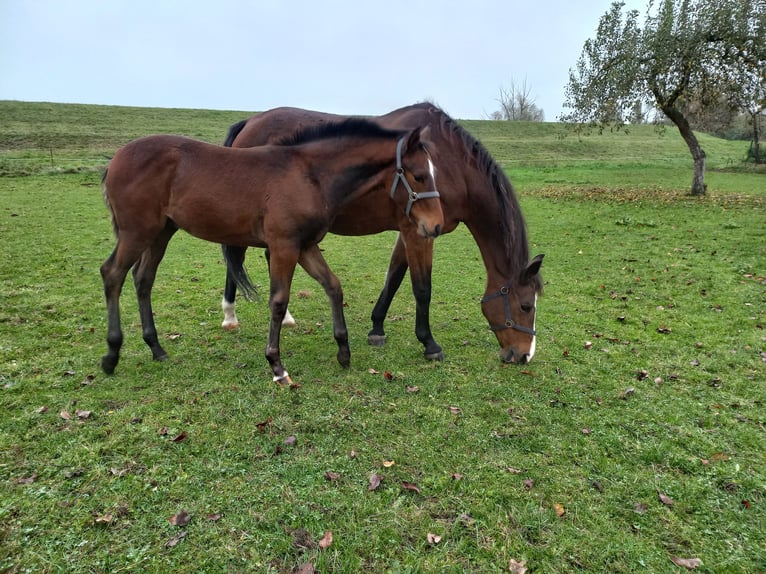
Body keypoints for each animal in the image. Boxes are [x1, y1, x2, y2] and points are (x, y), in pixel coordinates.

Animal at [99, 120, 444, 384]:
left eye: (433, 172)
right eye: (418, 175)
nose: (436, 225)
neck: (309, 175)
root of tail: (116, 159)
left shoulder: (305, 246)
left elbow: (333, 286)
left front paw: (343, 351)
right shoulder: (283, 246)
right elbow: (278, 302)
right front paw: (277, 366)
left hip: (161, 232)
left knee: (143, 279)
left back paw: (156, 349)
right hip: (136, 232)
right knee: (112, 274)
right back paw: (112, 355)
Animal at [219, 103, 544, 364]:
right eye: (526, 306)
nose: (524, 355)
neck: (450, 165)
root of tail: (249, 122)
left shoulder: (413, 229)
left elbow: (394, 276)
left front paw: (376, 328)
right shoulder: (420, 232)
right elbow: (422, 288)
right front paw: (429, 344)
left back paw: (284, 317)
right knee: (235, 258)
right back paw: (229, 314)